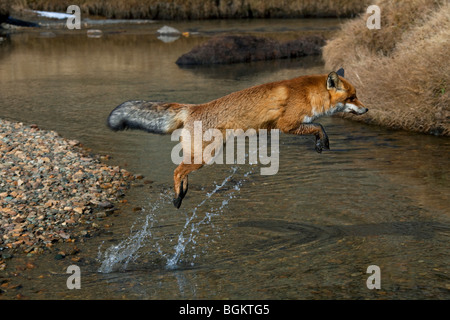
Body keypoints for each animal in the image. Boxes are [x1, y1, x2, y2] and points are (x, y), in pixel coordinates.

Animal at [107, 68, 368, 208]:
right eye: (352, 98)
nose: (367, 109)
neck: (308, 94)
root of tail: (193, 108)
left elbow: (318, 126)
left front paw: (319, 145)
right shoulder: (287, 125)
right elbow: (320, 126)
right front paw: (323, 142)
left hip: (201, 155)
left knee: (182, 171)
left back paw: (182, 192)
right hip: (205, 156)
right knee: (177, 170)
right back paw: (178, 197)